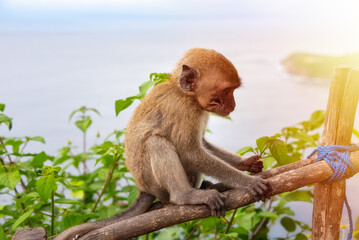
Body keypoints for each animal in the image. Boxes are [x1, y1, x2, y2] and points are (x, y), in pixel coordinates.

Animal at [54, 47, 272, 239]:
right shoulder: (185, 110)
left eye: (233, 90)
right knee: (155, 142)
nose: (233, 105)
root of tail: (144, 189)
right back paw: (185, 196)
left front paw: (246, 163)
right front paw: (247, 182)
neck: (186, 95)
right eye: (226, 91)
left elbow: (201, 143)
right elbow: (191, 152)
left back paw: (205, 186)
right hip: (153, 182)